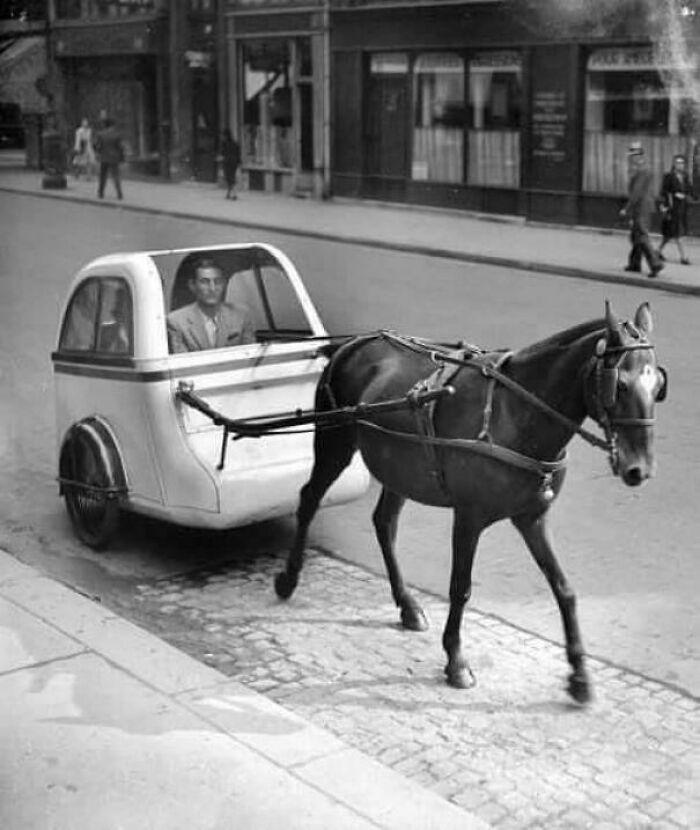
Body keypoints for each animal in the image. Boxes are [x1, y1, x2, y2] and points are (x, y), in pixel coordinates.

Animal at [272, 302, 668, 704]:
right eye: (620, 384)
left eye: (657, 386)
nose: (639, 469)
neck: (516, 413)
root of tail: (352, 343)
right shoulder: (469, 518)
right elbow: (460, 588)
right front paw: (456, 661)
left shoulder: (532, 517)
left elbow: (564, 589)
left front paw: (580, 674)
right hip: (335, 443)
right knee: (309, 499)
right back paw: (289, 578)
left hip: (397, 465)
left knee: (384, 523)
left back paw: (407, 604)